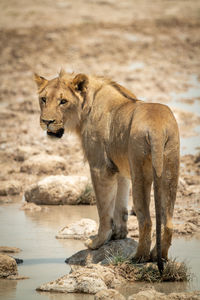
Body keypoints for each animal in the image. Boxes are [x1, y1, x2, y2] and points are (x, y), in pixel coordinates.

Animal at [34, 70, 180, 274]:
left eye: (63, 101)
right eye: (43, 99)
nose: (47, 122)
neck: (87, 105)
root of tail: (156, 127)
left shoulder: (100, 167)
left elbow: (104, 208)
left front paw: (97, 242)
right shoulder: (121, 169)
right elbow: (120, 204)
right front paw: (119, 234)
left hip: (140, 172)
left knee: (146, 220)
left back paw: (138, 257)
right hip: (170, 171)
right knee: (168, 222)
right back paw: (159, 256)